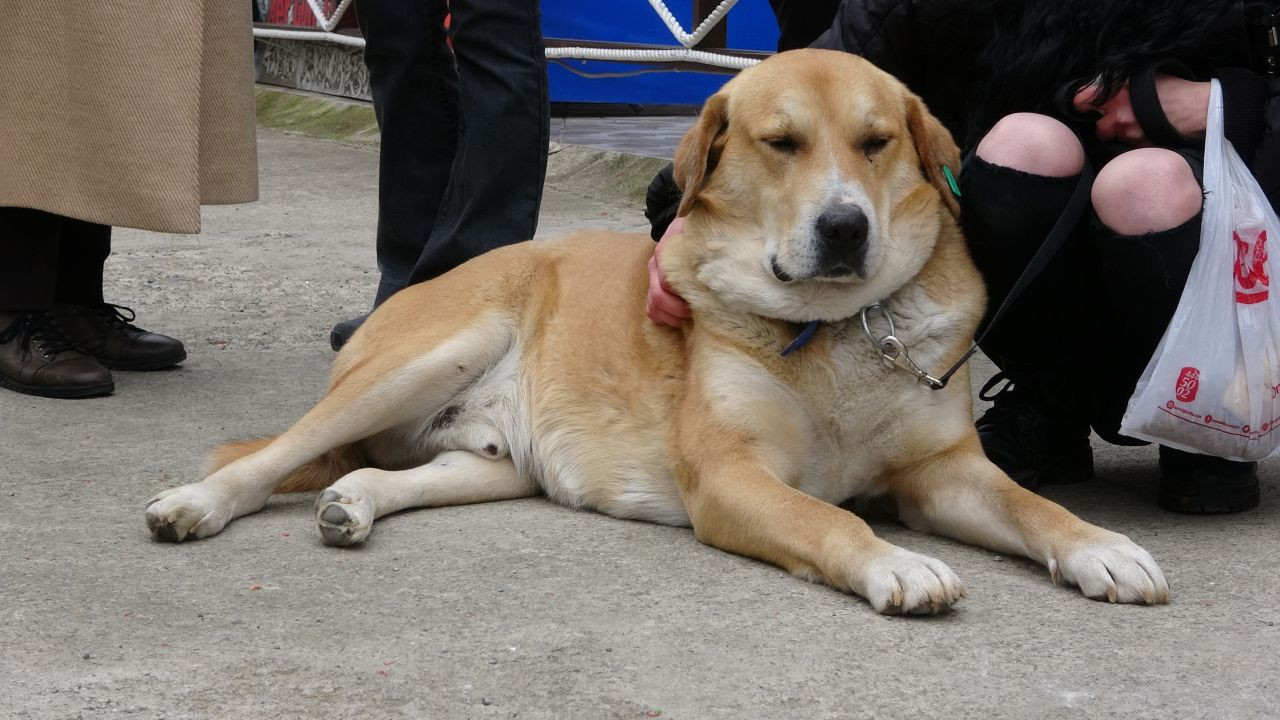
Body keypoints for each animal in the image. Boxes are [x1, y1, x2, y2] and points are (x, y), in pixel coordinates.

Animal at [147, 49, 1172, 609]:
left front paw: (1100, 545)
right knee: (270, 456)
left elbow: (1032, 507)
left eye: (877, 142)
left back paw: (353, 503)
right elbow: (829, 517)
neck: (837, 331)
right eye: (781, 143)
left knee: (374, 471)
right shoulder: (732, 480)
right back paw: (196, 504)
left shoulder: (944, 472)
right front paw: (898, 566)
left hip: (495, 461)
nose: (846, 228)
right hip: (427, 357)